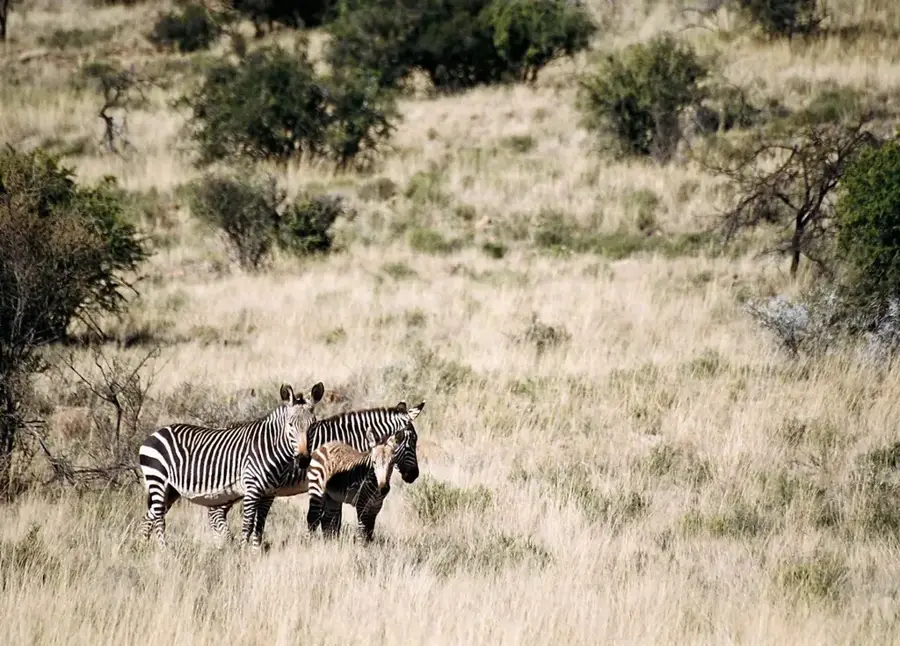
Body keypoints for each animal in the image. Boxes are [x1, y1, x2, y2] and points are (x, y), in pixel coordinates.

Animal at [138, 381, 325, 549]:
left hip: (171, 490)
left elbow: (259, 527)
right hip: (157, 480)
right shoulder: (252, 490)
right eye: (290, 425)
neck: (270, 449)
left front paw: (255, 554)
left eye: (313, 425)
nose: (303, 460)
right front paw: (243, 553)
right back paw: (164, 551)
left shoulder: (269, 495)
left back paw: (142, 549)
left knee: (149, 517)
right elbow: (248, 525)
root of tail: (155, 433)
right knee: (159, 518)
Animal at [205, 399, 425, 542]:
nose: (414, 475)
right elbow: (332, 521)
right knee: (215, 514)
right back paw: (225, 544)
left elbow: (331, 521)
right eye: (412, 441)